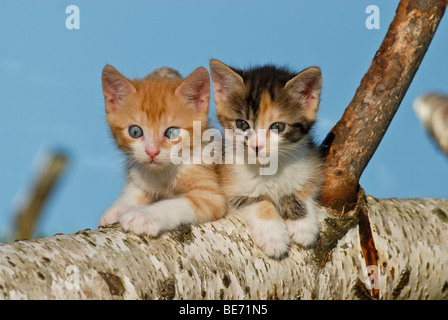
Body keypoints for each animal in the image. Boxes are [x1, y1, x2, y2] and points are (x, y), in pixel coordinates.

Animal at [97, 65, 224, 236]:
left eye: (172, 132)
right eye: (135, 131)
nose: (152, 152)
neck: (163, 173)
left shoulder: (212, 195)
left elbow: (176, 204)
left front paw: (143, 216)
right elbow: (136, 188)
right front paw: (117, 208)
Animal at [209, 60, 322, 260]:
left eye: (278, 127)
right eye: (242, 124)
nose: (256, 146)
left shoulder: (311, 163)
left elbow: (301, 188)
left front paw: (303, 225)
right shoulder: (228, 184)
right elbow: (259, 201)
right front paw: (273, 236)